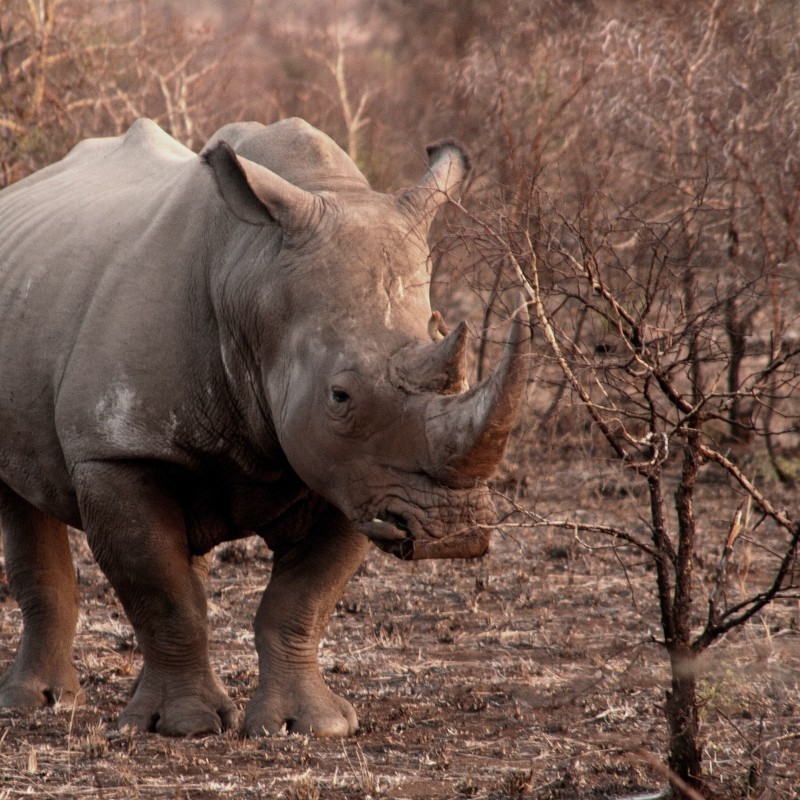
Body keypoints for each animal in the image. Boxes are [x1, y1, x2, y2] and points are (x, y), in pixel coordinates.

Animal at [0, 117, 528, 736]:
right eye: (340, 395)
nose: (454, 532)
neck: (253, 277)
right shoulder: (115, 452)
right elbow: (163, 595)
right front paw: (186, 727)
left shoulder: (358, 477)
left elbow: (301, 602)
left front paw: (311, 726)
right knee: (23, 502)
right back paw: (37, 704)